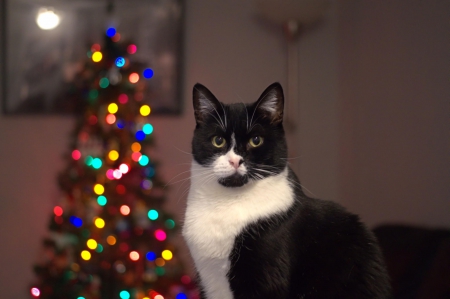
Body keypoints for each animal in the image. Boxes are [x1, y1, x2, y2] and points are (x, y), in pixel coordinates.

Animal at [181, 82, 392, 299]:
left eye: (256, 140)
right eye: (218, 141)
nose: (235, 161)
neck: (226, 203)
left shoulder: (267, 279)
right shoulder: (209, 281)